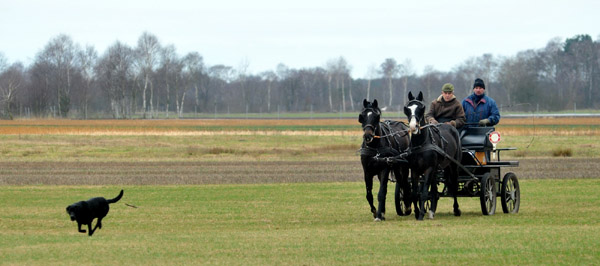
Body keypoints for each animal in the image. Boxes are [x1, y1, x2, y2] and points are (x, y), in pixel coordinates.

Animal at [406, 92, 462, 221]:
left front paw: (421, 214)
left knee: (454, 187)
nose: (413, 126)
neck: (421, 144)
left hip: (453, 166)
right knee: (434, 190)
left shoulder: (429, 168)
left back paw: (456, 209)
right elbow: (415, 193)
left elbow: (424, 193)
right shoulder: (414, 170)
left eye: (421, 109)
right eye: (407, 109)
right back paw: (431, 211)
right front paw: (417, 212)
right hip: (436, 169)